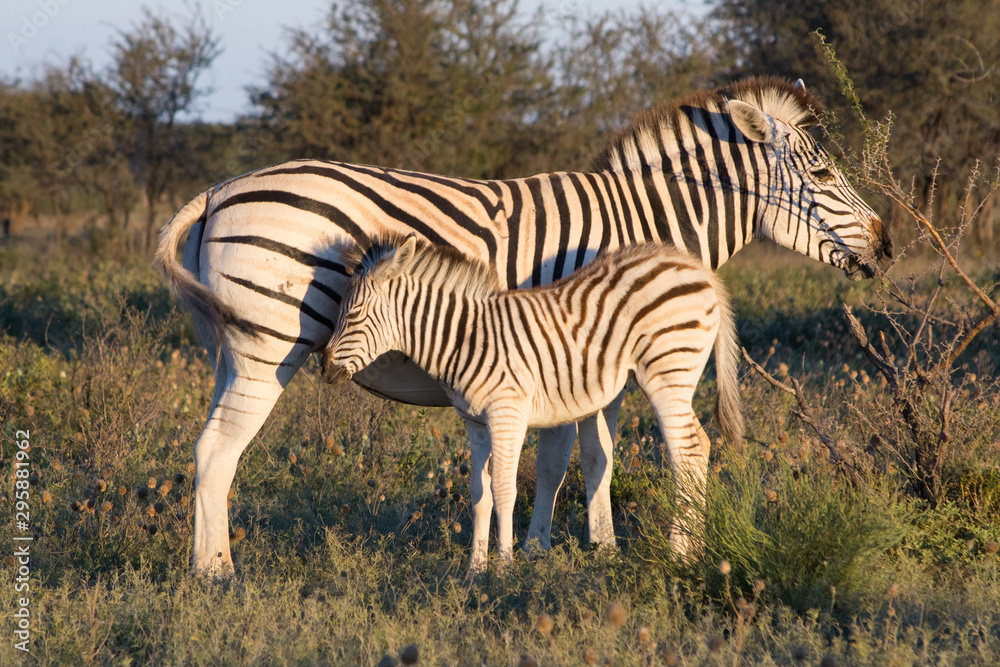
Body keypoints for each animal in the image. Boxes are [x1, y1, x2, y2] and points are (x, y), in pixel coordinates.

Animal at [322, 233, 741, 571]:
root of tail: (695, 267)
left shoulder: (507, 414)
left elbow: (504, 490)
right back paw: (695, 548)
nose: (325, 368)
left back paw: (679, 553)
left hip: (668, 373)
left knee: (688, 451)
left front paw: (504, 568)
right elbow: (479, 494)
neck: (464, 339)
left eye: (353, 314)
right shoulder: (474, 423)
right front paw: (474, 570)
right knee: (700, 447)